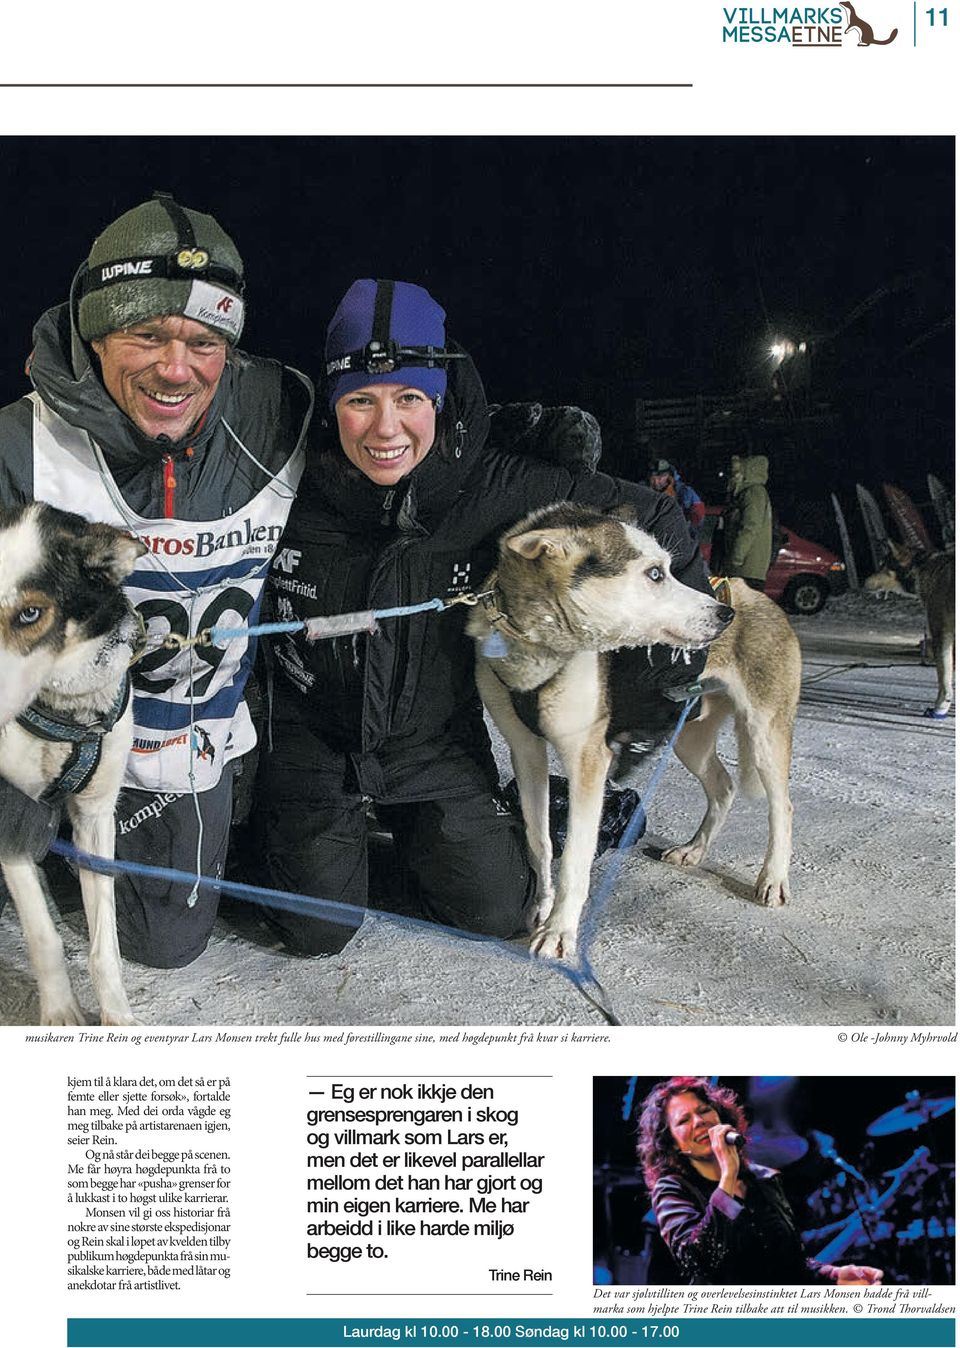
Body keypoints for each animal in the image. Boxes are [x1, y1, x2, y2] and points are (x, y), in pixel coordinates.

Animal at [0, 504, 144, 1019]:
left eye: (30, 612)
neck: (69, 711)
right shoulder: (13, 818)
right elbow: (45, 939)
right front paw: (60, 1011)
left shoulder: (95, 818)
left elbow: (105, 947)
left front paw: (117, 1016)